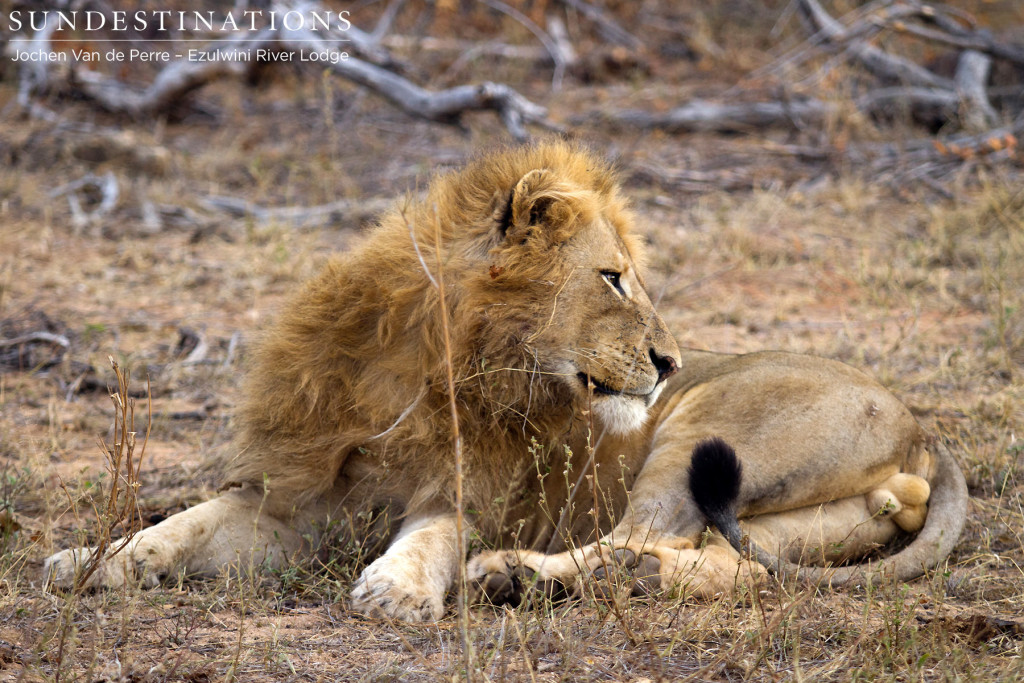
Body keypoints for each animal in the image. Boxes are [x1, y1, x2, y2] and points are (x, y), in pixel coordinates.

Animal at [41, 141, 966, 622]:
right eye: (613, 278)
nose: (668, 361)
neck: (420, 366)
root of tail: (924, 428)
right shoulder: (289, 498)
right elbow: (181, 524)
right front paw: (92, 561)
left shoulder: (466, 487)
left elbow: (434, 534)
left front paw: (398, 587)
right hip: (804, 521)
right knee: (727, 563)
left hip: (704, 432)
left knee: (638, 535)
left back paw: (512, 575)